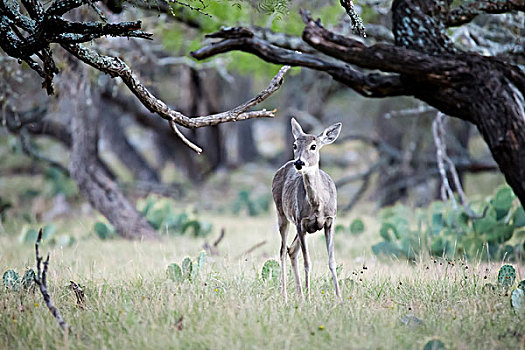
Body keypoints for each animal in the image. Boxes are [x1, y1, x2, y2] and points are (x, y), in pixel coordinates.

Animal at [272, 117, 342, 300]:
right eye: (295, 145)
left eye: (314, 146)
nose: (299, 162)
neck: (318, 205)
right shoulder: (300, 221)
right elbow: (307, 262)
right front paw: (310, 297)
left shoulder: (330, 221)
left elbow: (332, 261)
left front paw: (340, 298)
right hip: (282, 214)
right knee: (283, 250)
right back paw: (286, 296)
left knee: (291, 250)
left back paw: (300, 295)